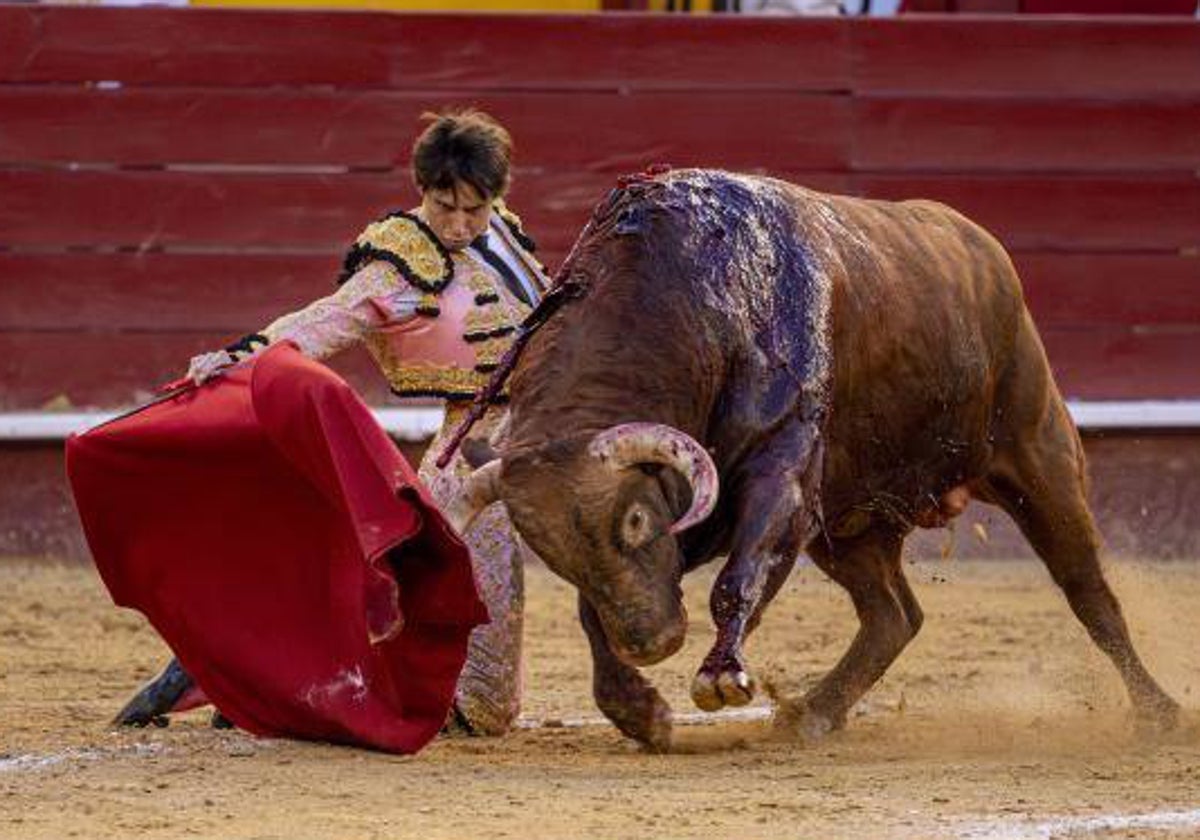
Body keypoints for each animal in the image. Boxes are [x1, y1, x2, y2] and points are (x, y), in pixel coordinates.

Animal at [451, 166, 1171, 753]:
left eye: (633, 520)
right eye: (549, 551)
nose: (654, 644)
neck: (692, 302)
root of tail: (983, 249)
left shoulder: (782, 473)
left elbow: (737, 578)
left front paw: (722, 677)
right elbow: (590, 609)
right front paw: (640, 712)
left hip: (1039, 459)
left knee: (1090, 593)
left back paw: (1157, 712)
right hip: (852, 524)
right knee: (893, 615)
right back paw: (814, 713)